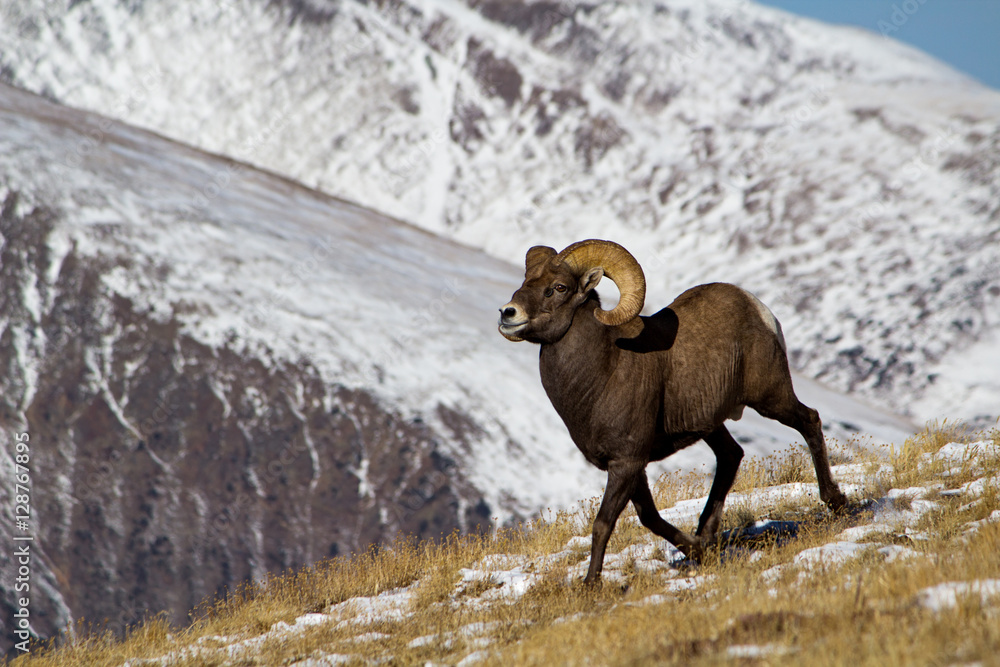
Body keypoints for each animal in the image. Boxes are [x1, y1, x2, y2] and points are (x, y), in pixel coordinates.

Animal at [498, 239, 847, 583]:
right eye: (526, 281)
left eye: (558, 288)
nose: (507, 314)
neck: (603, 371)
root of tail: (757, 308)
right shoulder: (630, 467)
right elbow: (649, 517)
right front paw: (698, 551)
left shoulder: (626, 463)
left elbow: (603, 524)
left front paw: (590, 585)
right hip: (712, 425)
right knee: (731, 455)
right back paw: (706, 536)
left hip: (771, 398)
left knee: (809, 420)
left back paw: (836, 502)